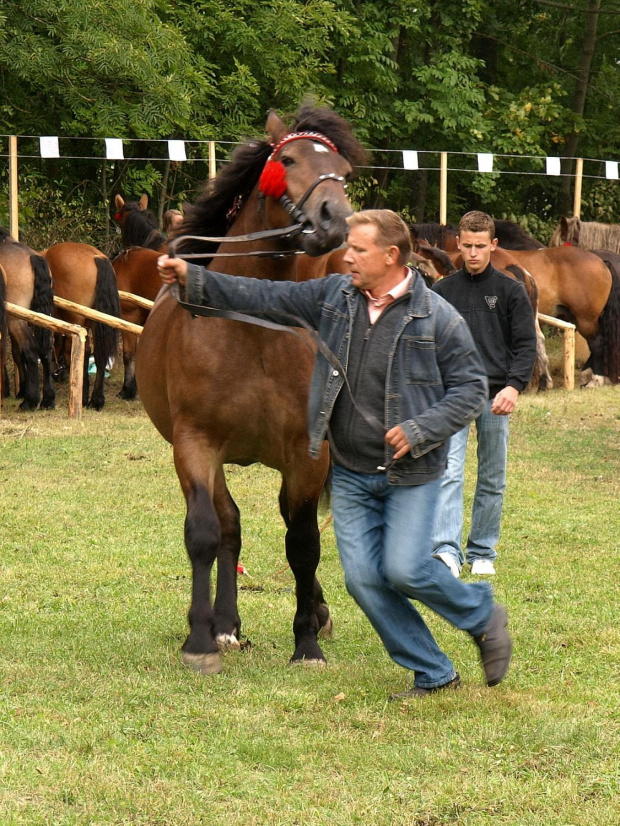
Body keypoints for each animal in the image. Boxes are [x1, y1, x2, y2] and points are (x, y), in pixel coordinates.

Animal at [0, 229, 55, 408]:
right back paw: (47, 399)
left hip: (16, 320)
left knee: (30, 351)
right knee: (45, 351)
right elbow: (15, 353)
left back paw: (30, 401)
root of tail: (33, 257)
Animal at [135, 103, 366, 672]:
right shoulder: (195, 444)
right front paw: (200, 639)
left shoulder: (307, 455)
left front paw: (307, 642)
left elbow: (303, 543)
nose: (333, 219)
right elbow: (204, 533)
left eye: (343, 171)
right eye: (288, 160)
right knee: (229, 527)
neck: (252, 328)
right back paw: (224, 624)